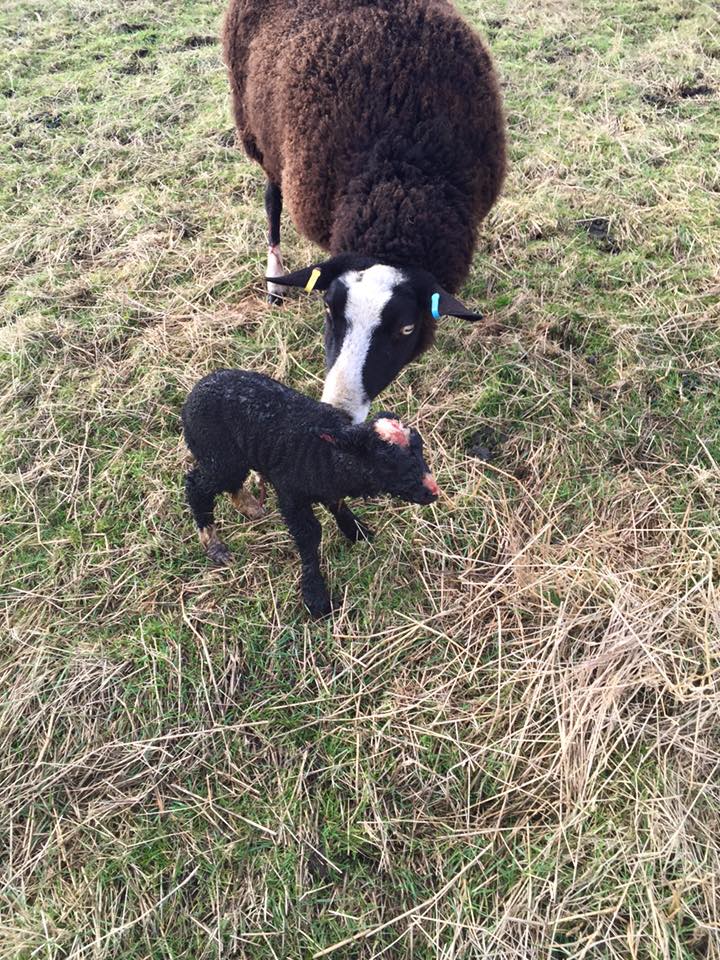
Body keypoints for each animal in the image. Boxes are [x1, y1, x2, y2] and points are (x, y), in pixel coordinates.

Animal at [182, 369, 440, 617]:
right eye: (386, 461)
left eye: (420, 447)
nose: (432, 492)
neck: (325, 453)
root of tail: (194, 392)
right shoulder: (290, 494)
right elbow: (309, 534)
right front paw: (316, 598)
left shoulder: (328, 486)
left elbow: (338, 507)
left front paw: (358, 533)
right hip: (218, 454)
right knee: (197, 486)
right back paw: (215, 545)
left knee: (229, 483)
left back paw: (251, 508)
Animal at [223, 0, 506, 423]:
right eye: (328, 311)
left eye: (406, 329)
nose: (338, 413)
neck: (401, 182)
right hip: (257, 131)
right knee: (272, 198)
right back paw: (275, 278)